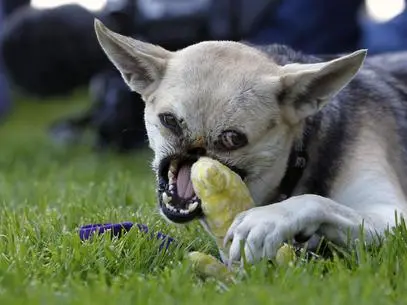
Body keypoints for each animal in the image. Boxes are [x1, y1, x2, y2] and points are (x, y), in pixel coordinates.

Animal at [94, 19, 407, 262]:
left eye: (233, 139)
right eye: (169, 120)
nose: (195, 156)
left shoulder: (391, 215)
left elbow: (317, 201)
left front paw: (268, 219)